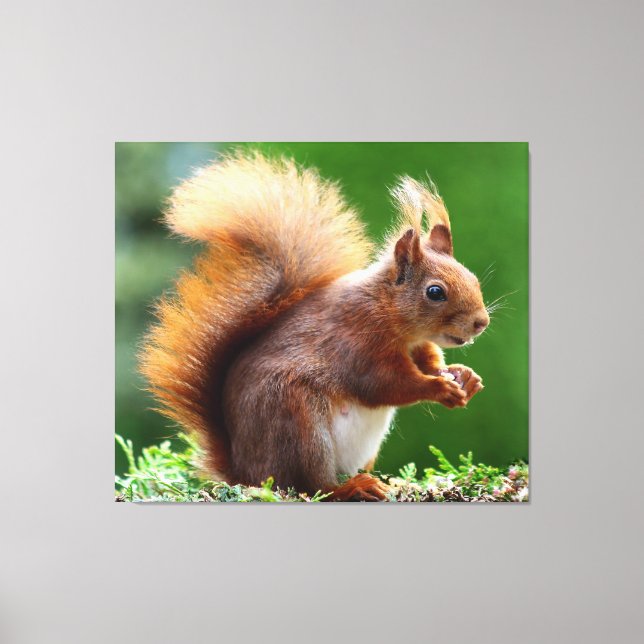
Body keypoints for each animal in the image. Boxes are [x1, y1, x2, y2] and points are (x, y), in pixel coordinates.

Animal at [140, 150, 490, 501]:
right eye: (435, 292)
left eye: (472, 278)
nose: (481, 322)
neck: (389, 313)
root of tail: (245, 471)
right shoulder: (358, 341)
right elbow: (385, 384)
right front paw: (439, 388)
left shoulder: (416, 345)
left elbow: (428, 362)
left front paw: (464, 377)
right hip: (298, 424)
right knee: (312, 485)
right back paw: (353, 488)